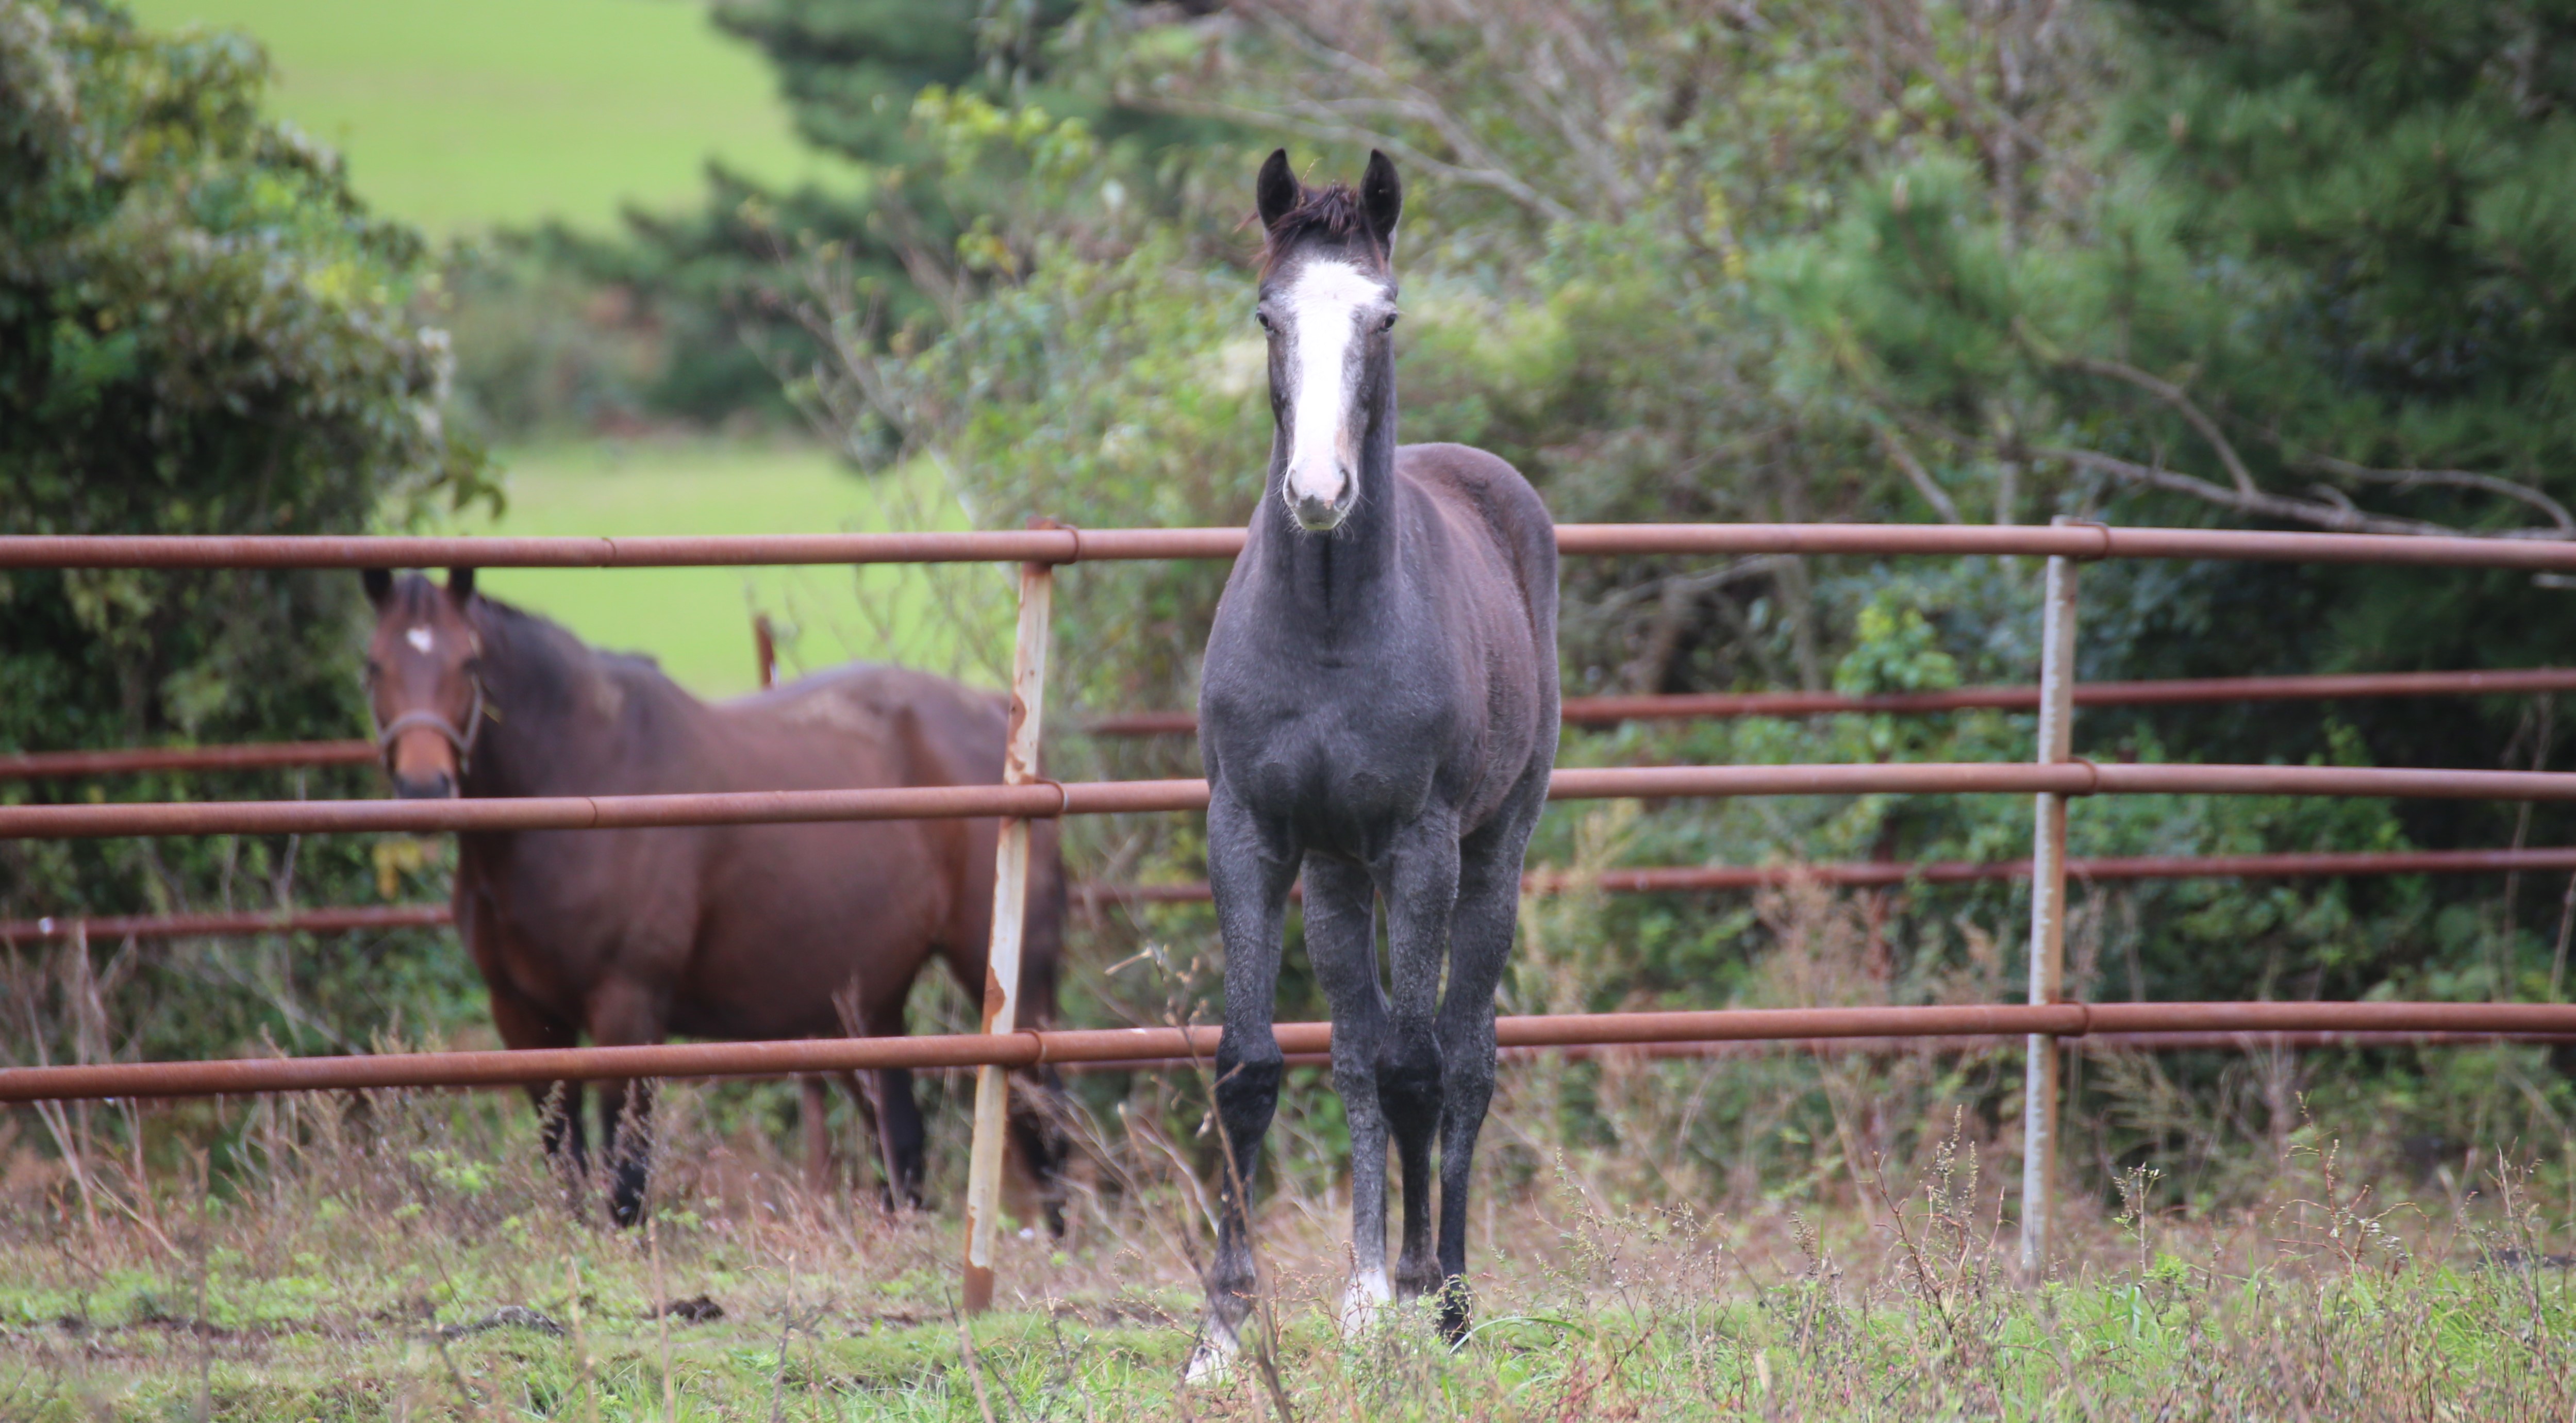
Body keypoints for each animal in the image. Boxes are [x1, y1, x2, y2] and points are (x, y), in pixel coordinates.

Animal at [358, 567, 1061, 1222]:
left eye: (468, 662)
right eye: (373, 664)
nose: (424, 788)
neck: (578, 776)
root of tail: (994, 716)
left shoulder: (628, 1009)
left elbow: (626, 1175)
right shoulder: (523, 1017)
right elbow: (566, 1162)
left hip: (1008, 983)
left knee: (1043, 1129)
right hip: (867, 1005)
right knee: (904, 1144)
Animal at [1190, 150, 1566, 1371]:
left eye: (1383, 314)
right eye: (1267, 312)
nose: (1317, 493)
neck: (1324, 629)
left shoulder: (1420, 846)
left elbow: (1421, 1071)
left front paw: (1422, 1298)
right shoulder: (1250, 835)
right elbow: (1253, 1065)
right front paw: (1221, 1332)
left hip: (1487, 857)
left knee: (1461, 1060)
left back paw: (1440, 1293)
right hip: (1335, 876)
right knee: (1356, 1049)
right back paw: (1361, 1293)